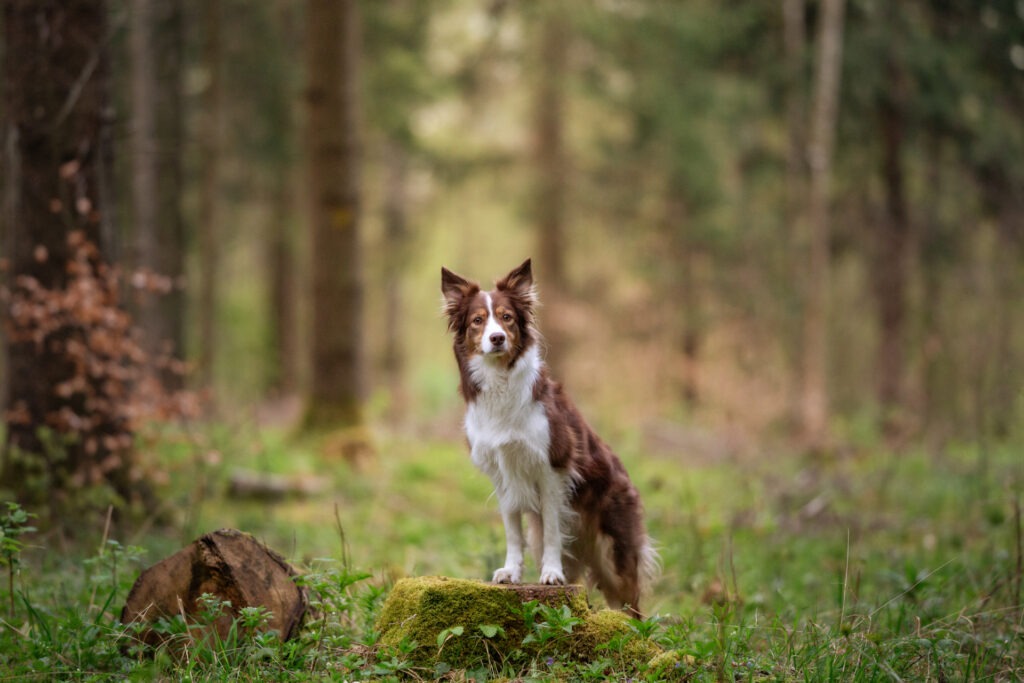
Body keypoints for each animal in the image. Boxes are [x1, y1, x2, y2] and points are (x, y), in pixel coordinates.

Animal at [440, 259, 655, 618]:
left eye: (507, 317)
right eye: (477, 321)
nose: (496, 338)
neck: (501, 383)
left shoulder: (553, 469)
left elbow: (554, 527)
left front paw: (551, 574)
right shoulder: (502, 475)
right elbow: (513, 531)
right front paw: (511, 571)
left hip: (615, 553)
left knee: (632, 609)